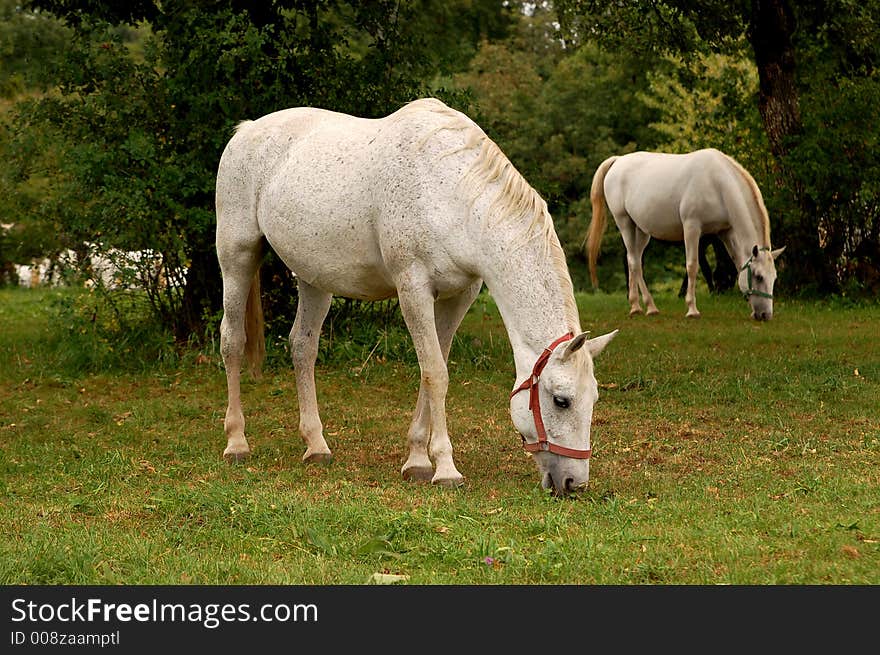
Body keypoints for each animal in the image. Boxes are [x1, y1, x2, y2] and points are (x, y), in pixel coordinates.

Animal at [216, 100, 616, 494]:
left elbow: (433, 368)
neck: (452, 193)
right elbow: (435, 373)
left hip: (314, 278)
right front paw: (446, 468)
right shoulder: (413, 288)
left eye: (593, 399)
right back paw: (236, 443)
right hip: (236, 257)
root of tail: (246, 131)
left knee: (302, 346)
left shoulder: (460, 294)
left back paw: (316, 446)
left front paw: (418, 460)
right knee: (232, 341)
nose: (573, 483)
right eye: (561, 400)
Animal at [592, 149, 784, 322]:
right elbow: (692, 266)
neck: (717, 183)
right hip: (624, 222)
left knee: (634, 260)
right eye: (759, 277)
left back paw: (636, 306)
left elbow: (738, 265)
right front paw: (692, 309)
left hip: (641, 230)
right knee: (634, 262)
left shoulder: (726, 232)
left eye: (774, 278)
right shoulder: (692, 228)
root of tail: (618, 161)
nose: (765, 315)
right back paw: (650, 307)